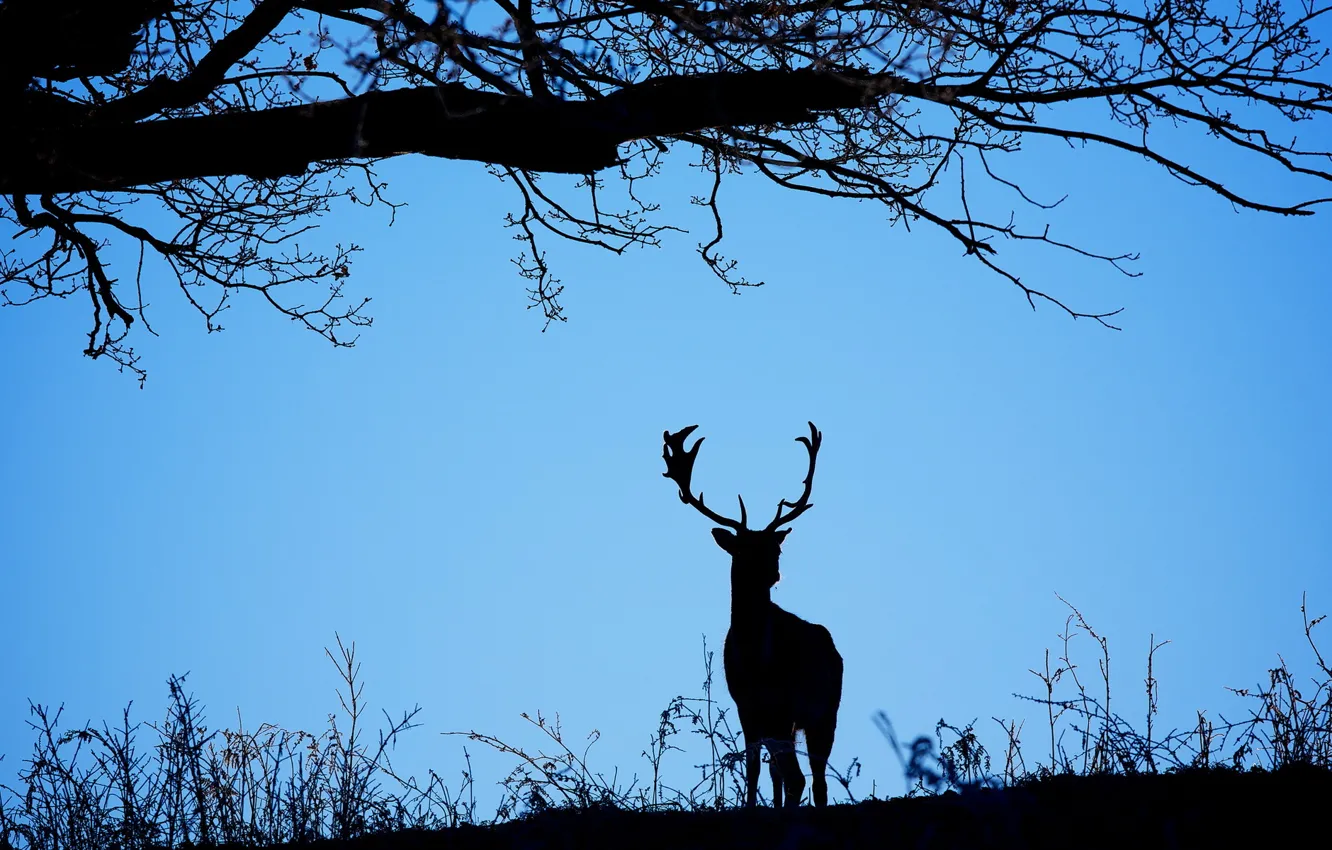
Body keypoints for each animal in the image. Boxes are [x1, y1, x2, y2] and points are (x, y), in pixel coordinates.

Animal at [661, 422, 843, 808]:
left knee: (801, 777)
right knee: (814, 780)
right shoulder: (747, 705)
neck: (753, 657)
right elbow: (757, 769)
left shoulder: (769, 705)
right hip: (812, 714)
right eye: (743, 549)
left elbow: (767, 771)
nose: (774, 574)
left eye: (775, 549)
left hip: (815, 710)